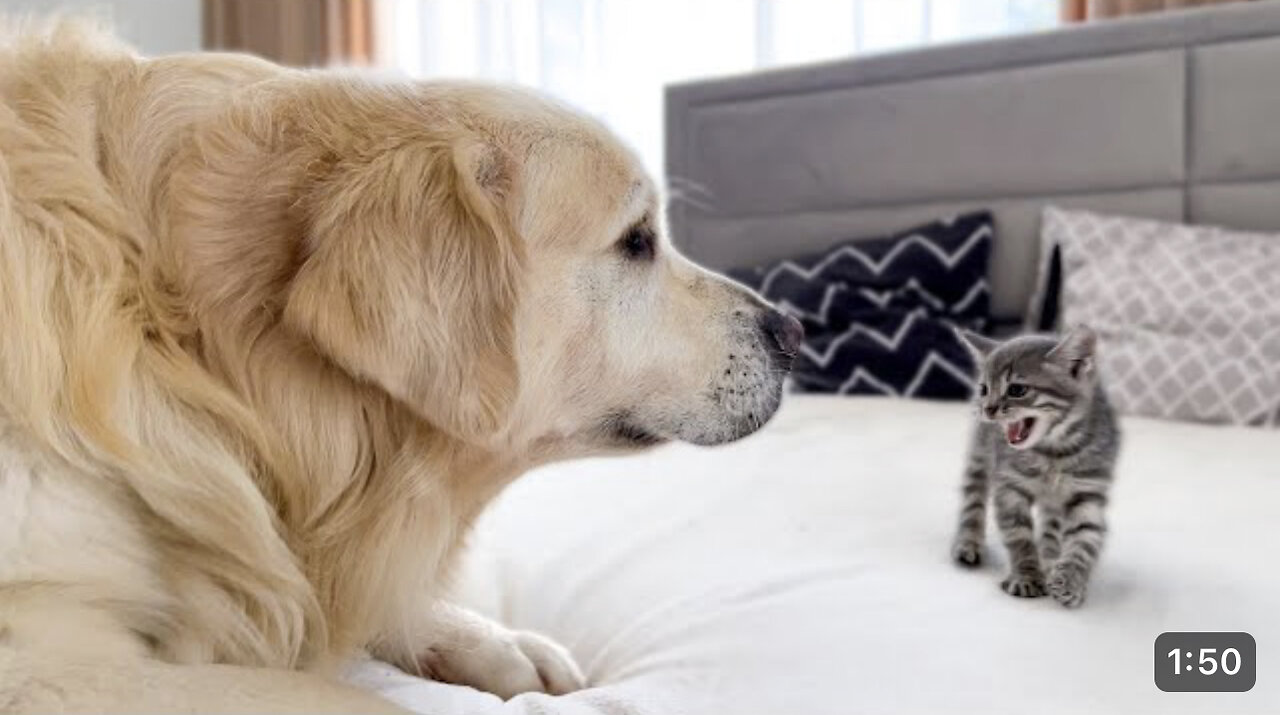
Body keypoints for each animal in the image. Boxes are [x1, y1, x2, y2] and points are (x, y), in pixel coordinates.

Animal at [952, 327, 1121, 606]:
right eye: (984, 388)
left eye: (1017, 389)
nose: (988, 408)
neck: (1054, 452)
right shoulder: (1010, 486)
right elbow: (1019, 535)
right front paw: (1027, 575)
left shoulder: (1088, 491)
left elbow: (1084, 539)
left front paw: (1070, 580)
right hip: (980, 453)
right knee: (973, 496)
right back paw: (968, 543)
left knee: (1052, 525)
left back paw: (1050, 559)